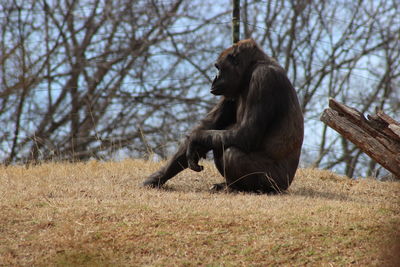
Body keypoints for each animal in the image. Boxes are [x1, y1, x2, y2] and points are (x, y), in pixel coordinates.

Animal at [143, 38, 304, 194]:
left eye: (218, 68)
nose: (214, 78)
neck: (250, 71)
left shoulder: (264, 78)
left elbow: (246, 134)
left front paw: (195, 140)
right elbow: (209, 125)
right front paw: (158, 177)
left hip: (278, 181)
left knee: (233, 153)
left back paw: (255, 189)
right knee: (218, 143)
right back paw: (230, 185)